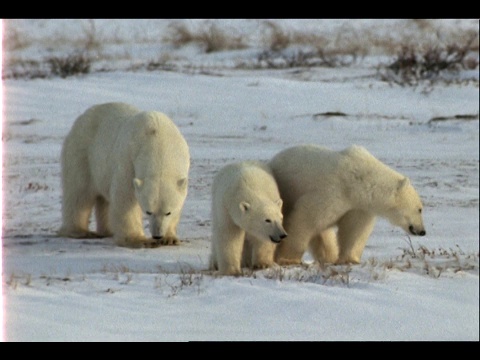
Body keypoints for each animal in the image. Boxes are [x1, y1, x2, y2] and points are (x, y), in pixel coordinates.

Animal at [57, 101, 189, 248]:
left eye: (168, 212)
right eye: (148, 211)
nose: (157, 235)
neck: (157, 140)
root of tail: (82, 117)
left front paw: (170, 238)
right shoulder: (128, 159)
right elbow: (125, 198)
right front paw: (138, 240)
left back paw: (108, 231)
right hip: (82, 153)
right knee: (79, 192)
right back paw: (79, 231)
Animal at [268, 145, 426, 266]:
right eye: (419, 209)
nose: (422, 231)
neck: (358, 182)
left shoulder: (358, 206)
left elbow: (354, 230)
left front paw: (351, 259)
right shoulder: (332, 192)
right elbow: (305, 218)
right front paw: (288, 258)